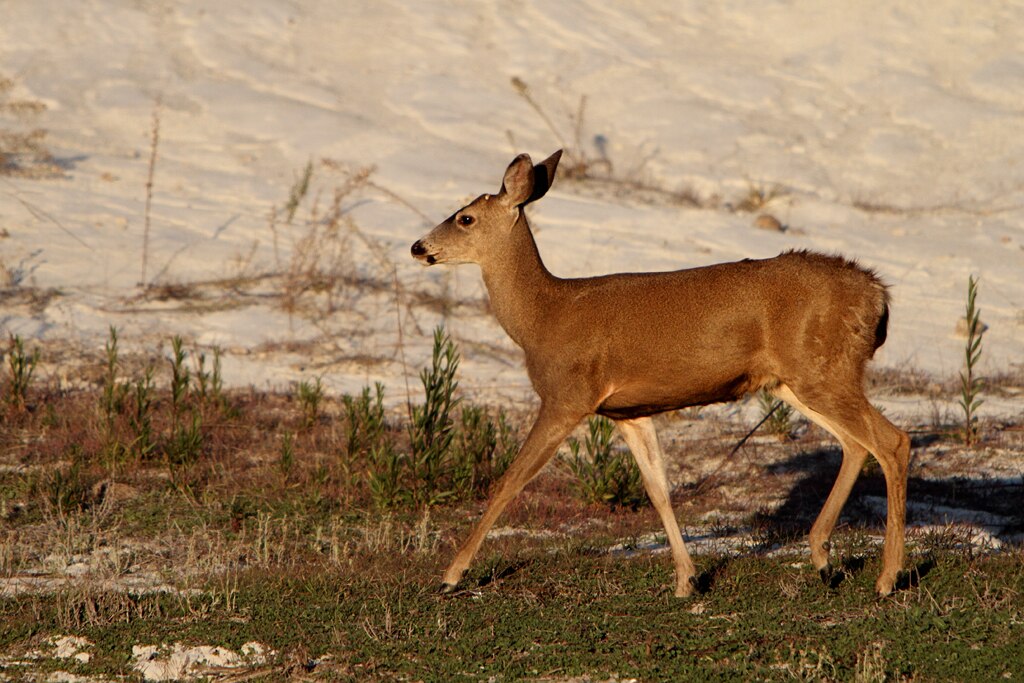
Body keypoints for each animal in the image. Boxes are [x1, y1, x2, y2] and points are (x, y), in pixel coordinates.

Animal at [410, 150, 910, 598]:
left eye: (465, 218)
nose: (418, 247)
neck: (545, 318)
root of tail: (878, 296)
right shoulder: (627, 411)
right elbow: (659, 490)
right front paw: (687, 581)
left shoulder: (567, 395)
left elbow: (509, 481)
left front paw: (450, 576)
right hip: (796, 379)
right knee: (856, 445)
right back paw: (824, 561)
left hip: (822, 368)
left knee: (892, 441)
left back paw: (887, 580)